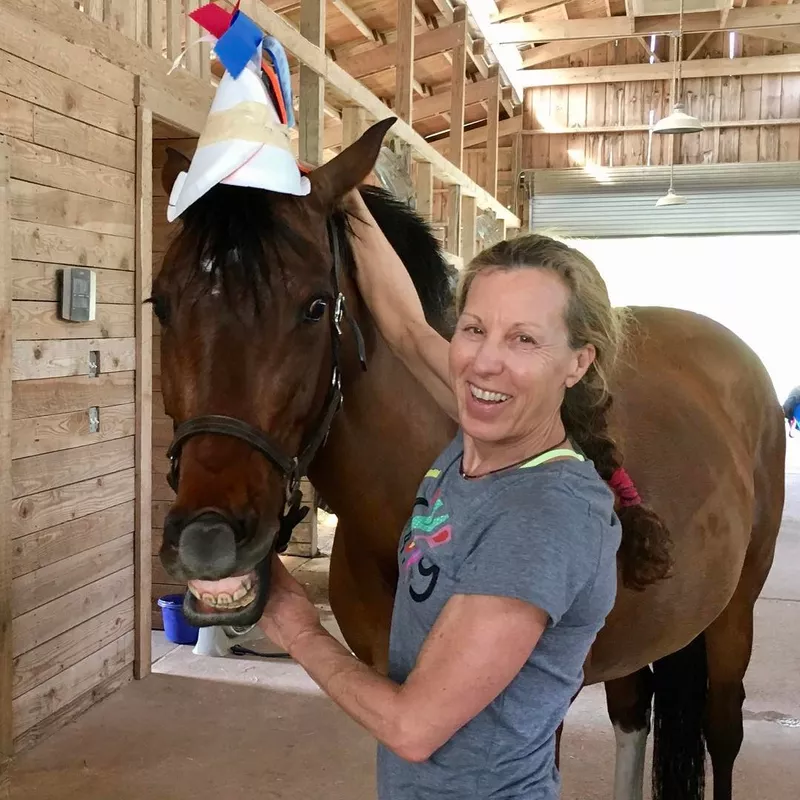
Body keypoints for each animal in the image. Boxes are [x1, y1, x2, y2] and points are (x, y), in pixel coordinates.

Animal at [153, 119, 784, 800]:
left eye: (316, 307)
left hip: (733, 619)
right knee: (630, 716)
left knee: (722, 730)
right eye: (160, 305)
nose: (207, 541)